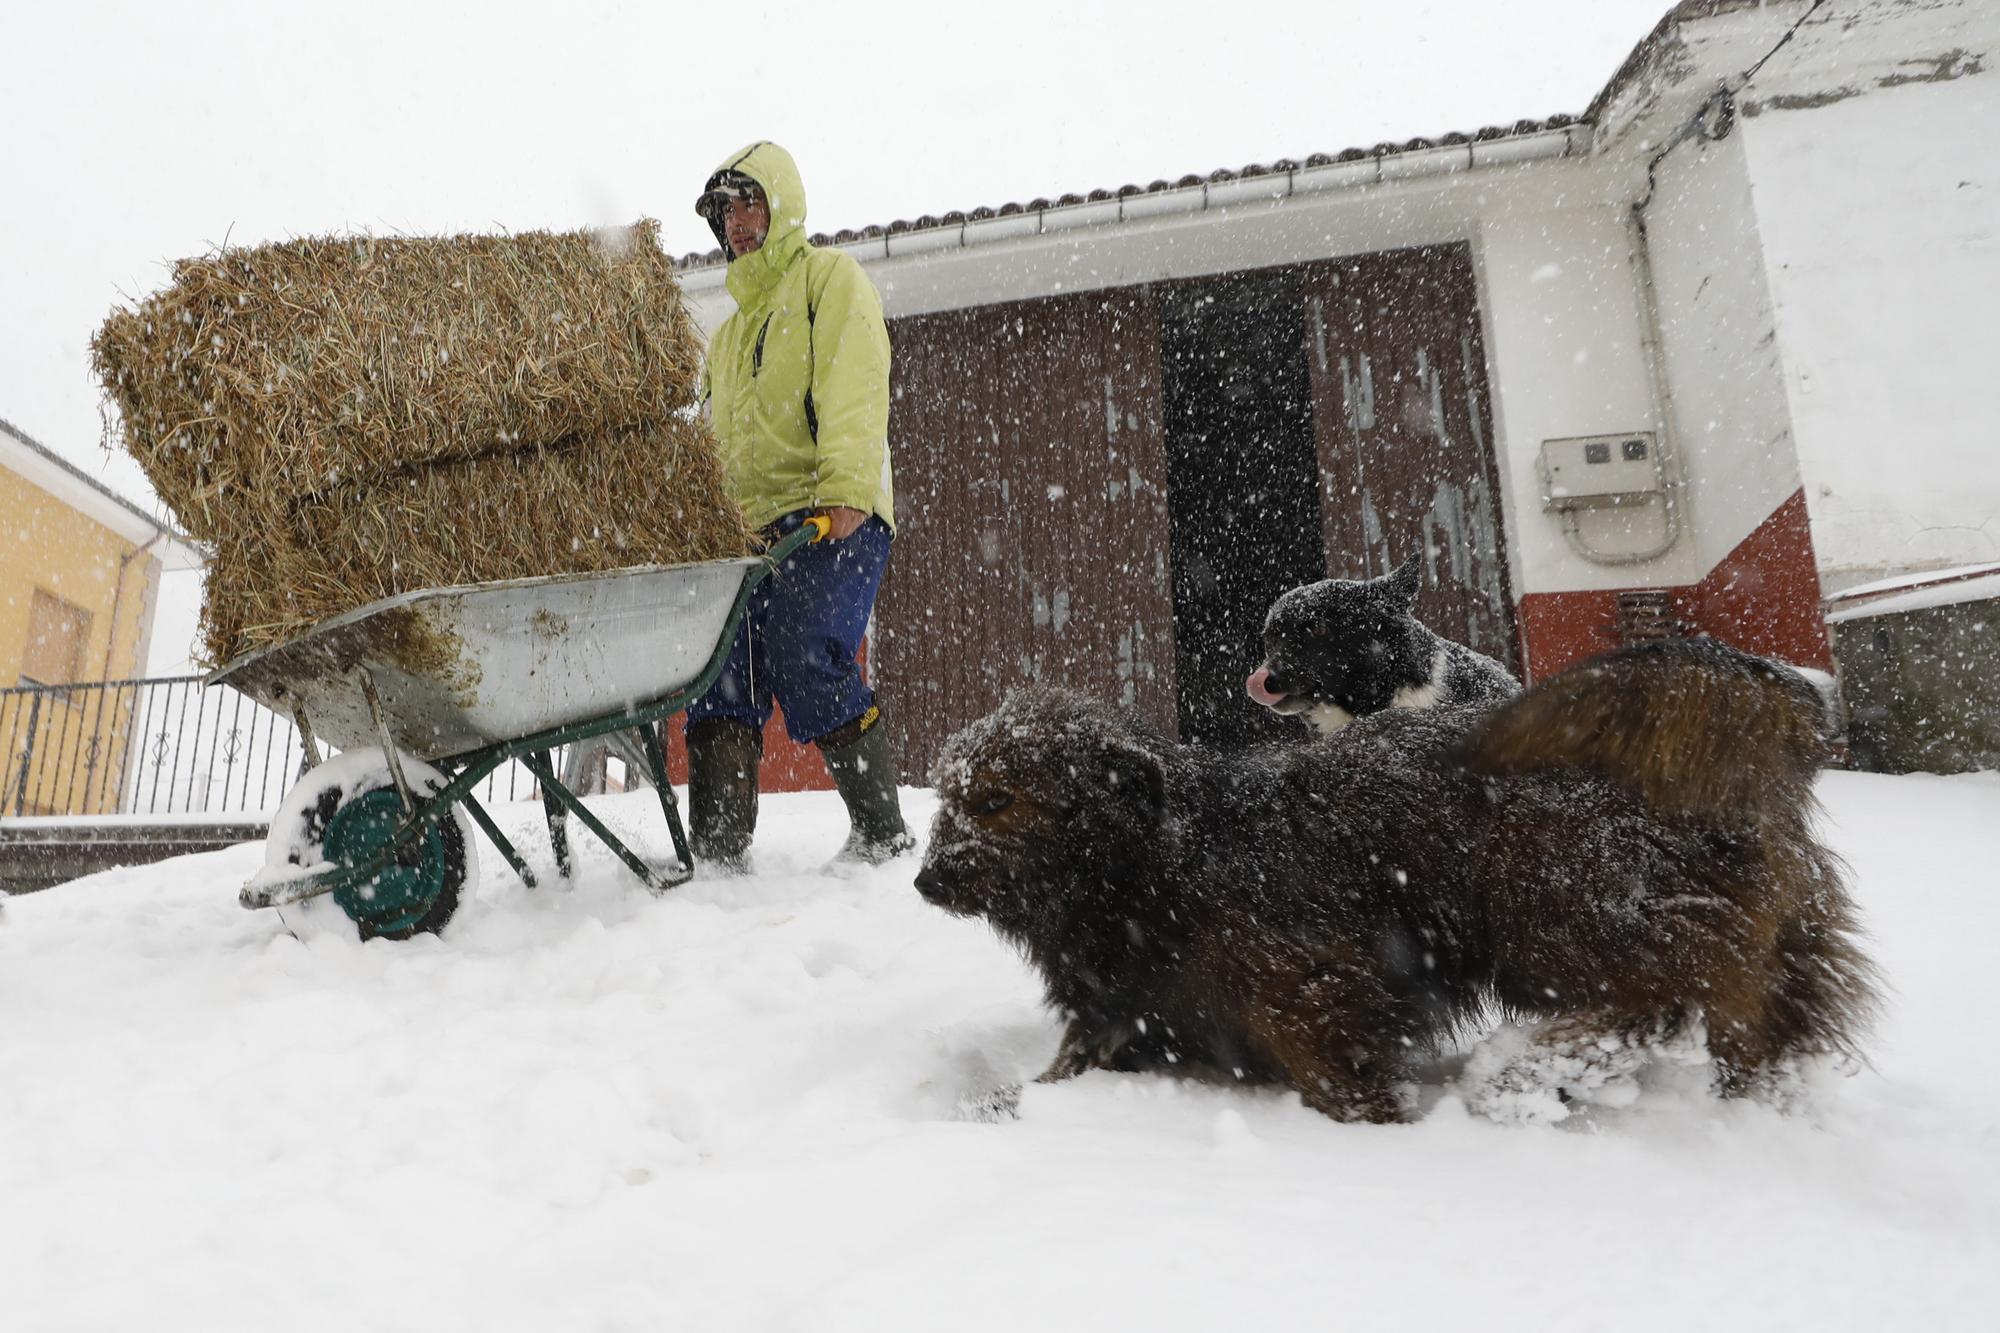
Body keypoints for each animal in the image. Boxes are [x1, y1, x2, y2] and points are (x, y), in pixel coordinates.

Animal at [916, 640, 1880, 1112]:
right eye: (950, 796)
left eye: (996, 799)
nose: (927, 881)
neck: (1149, 862)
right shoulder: (1122, 1009)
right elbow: (1053, 1076)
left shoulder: (1312, 984)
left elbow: (1335, 1067)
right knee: (1762, 1018)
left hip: (1553, 900)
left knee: (1658, 992)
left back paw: (1531, 1075)